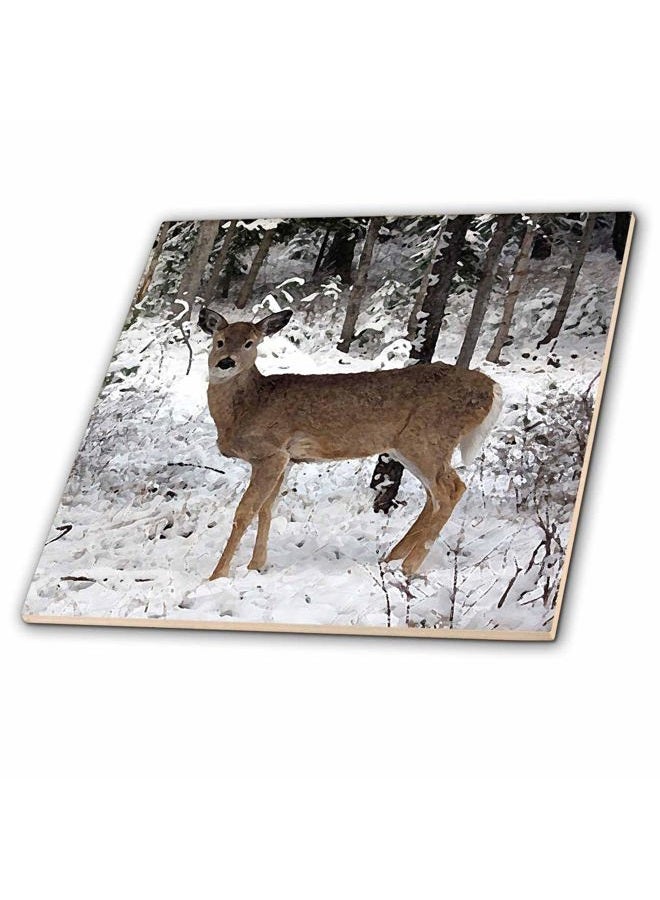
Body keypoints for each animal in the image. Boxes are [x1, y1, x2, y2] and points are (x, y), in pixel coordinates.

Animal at [199, 306, 503, 580]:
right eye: (219, 341)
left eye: (250, 343)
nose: (225, 362)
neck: (247, 406)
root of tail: (492, 388)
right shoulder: (286, 459)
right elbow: (266, 509)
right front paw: (256, 566)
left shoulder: (270, 453)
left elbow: (244, 512)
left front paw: (217, 575)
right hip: (413, 447)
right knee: (435, 495)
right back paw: (392, 558)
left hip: (427, 439)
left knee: (450, 490)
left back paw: (408, 566)